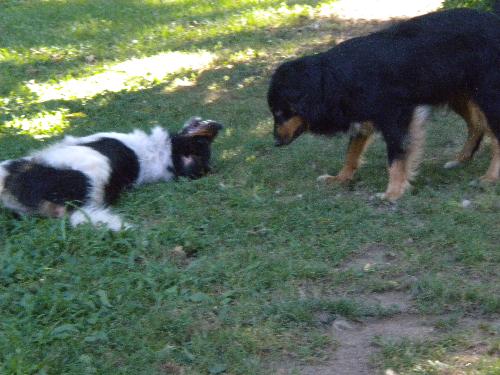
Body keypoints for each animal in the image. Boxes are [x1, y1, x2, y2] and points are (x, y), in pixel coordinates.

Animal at [270, 6, 500, 200]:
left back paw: (490, 177)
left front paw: (393, 193)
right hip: (458, 93)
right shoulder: (362, 116)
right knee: (477, 126)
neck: (333, 79)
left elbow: (396, 157)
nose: (276, 142)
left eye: (280, 113)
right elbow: (351, 153)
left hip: (486, 96)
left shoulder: (397, 116)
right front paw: (340, 178)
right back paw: (461, 160)